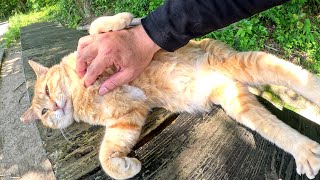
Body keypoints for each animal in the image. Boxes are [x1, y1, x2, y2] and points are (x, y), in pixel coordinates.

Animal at [20, 12, 320, 179]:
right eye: (43, 112)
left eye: (46, 91)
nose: (53, 107)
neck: (80, 92)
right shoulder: (127, 117)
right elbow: (106, 157)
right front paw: (126, 167)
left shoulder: (98, 53)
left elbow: (98, 27)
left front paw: (123, 19)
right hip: (237, 101)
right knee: (273, 126)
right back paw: (305, 150)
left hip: (249, 63)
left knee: (299, 78)